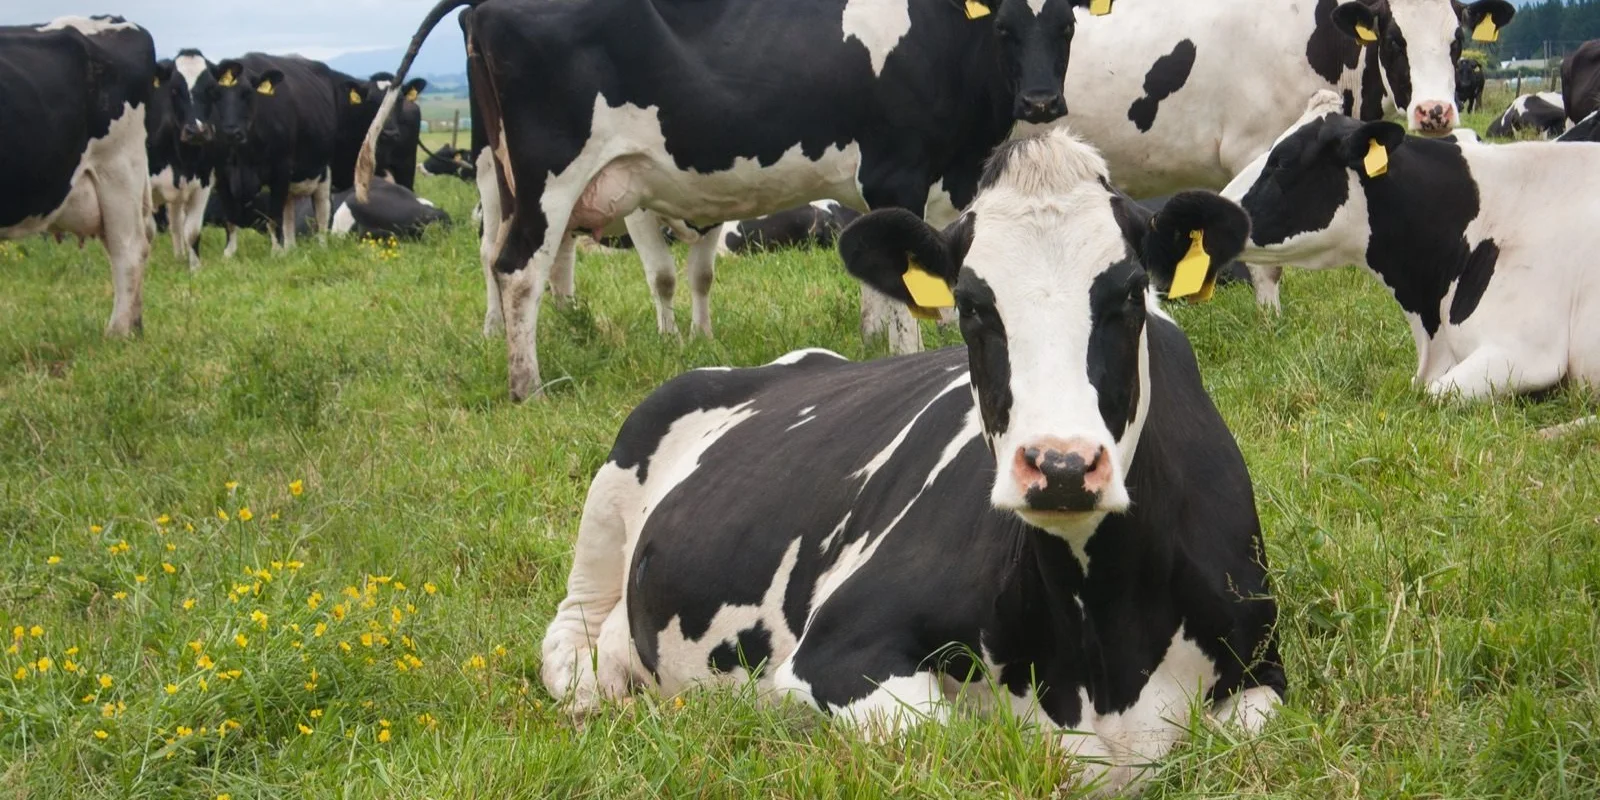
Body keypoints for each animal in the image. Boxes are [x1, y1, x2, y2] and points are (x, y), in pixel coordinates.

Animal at [147, 48, 216, 271]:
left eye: (211, 89)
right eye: (174, 90)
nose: (197, 131)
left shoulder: (203, 183)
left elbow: (192, 230)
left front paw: (195, 268)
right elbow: (147, 232)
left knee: (177, 224)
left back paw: (179, 256)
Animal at [196, 54, 342, 254]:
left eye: (248, 93)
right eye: (215, 94)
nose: (231, 132)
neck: (242, 159)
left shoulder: (281, 168)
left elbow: (273, 217)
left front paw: (276, 253)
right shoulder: (221, 173)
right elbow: (231, 218)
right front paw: (229, 253)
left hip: (323, 171)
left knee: (322, 211)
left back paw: (321, 247)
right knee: (289, 213)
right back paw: (290, 249)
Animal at [361, 0, 1116, 402]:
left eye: (1067, 25)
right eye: (1004, 26)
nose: (1041, 101)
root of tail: (484, 7)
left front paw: (877, 341)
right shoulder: (896, 171)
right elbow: (904, 296)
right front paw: (905, 356)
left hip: (511, 177)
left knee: (503, 259)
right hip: (550, 171)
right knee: (519, 269)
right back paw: (529, 387)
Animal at [539, 130, 1285, 796]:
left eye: (1130, 293)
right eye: (971, 304)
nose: (1062, 467)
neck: (1099, 647)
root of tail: (790, 363)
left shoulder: (1262, 672)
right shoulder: (834, 653)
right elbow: (958, 738)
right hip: (612, 493)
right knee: (571, 633)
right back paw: (595, 692)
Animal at [993, 0, 1516, 313]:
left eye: (1457, 40)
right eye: (1393, 39)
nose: (1435, 111)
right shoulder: (1255, 148)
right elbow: (1265, 259)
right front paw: (1270, 321)